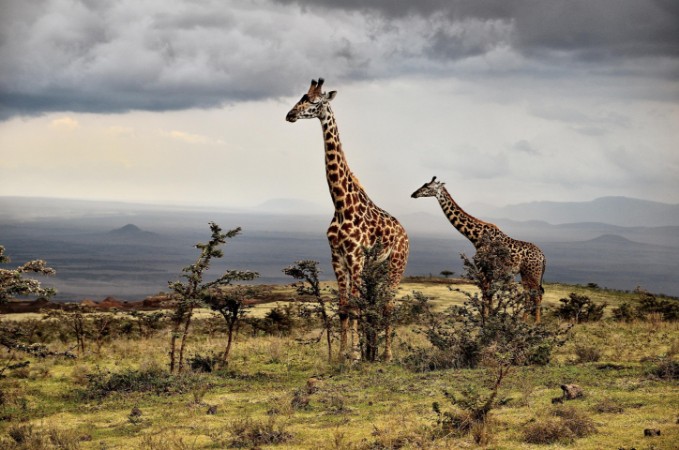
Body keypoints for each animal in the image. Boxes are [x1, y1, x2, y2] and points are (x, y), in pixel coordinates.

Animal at [286, 78, 409, 361]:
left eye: (314, 101)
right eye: (301, 97)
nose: (290, 115)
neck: (341, 205)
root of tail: (405, 232)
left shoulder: (355, 257)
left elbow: (354, 306)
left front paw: (353, 356)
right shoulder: (338, 258)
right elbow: (344, 307)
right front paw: (343, 355)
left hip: (396, 264)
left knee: (388, 304)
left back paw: (387, 355)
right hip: (376, 268)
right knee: (375, 304)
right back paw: (373, 353)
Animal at [411, 176, 546, 321]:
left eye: (427, 186)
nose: (413, 194)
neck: (476, 237)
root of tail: (543, 256)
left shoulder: (483, 268)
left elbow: (485, 295)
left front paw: (485, 320)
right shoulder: (489, 271)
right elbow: (489, 295)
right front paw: (491, 318)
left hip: (533, 273)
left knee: (537, 295)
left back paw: (536, 323)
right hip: (525, 274)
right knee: (529, 294)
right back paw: (523, 320)